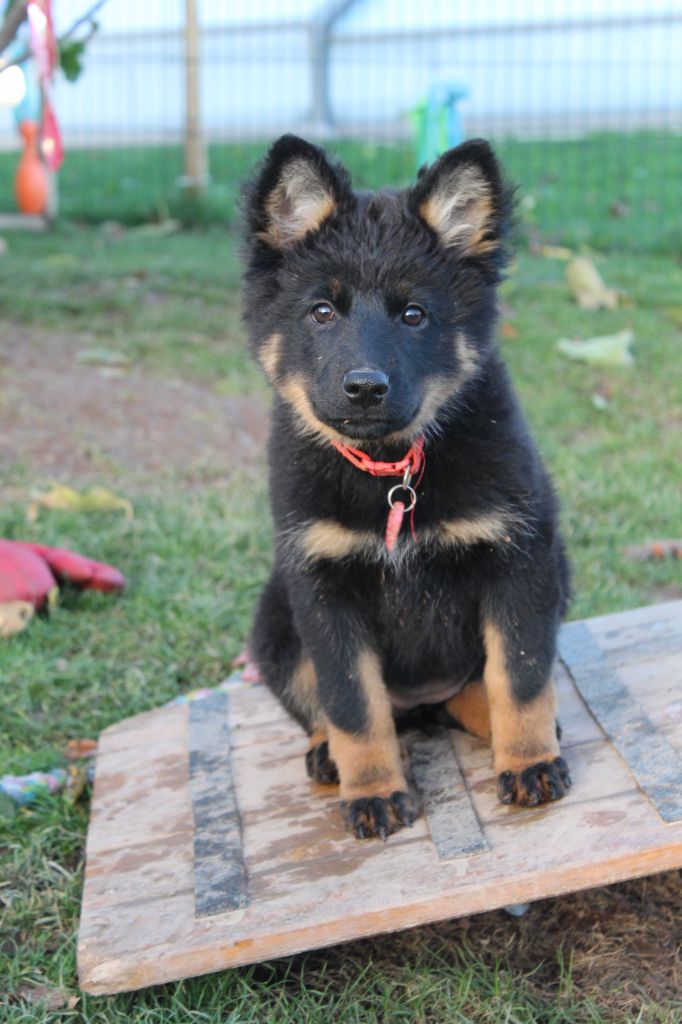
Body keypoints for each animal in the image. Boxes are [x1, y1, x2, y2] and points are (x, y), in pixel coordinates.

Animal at [238, 134, 569, 839]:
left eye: (414, 315)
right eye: (322, 311)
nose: (365, 387)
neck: (390, 470)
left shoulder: (520, 557)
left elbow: (520, 673)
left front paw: (528, 760)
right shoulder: (321, 585)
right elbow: (351, 702)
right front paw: (373, 791)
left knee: (471, 690)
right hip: (274, 617)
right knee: (332, 705)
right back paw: (327, 756)